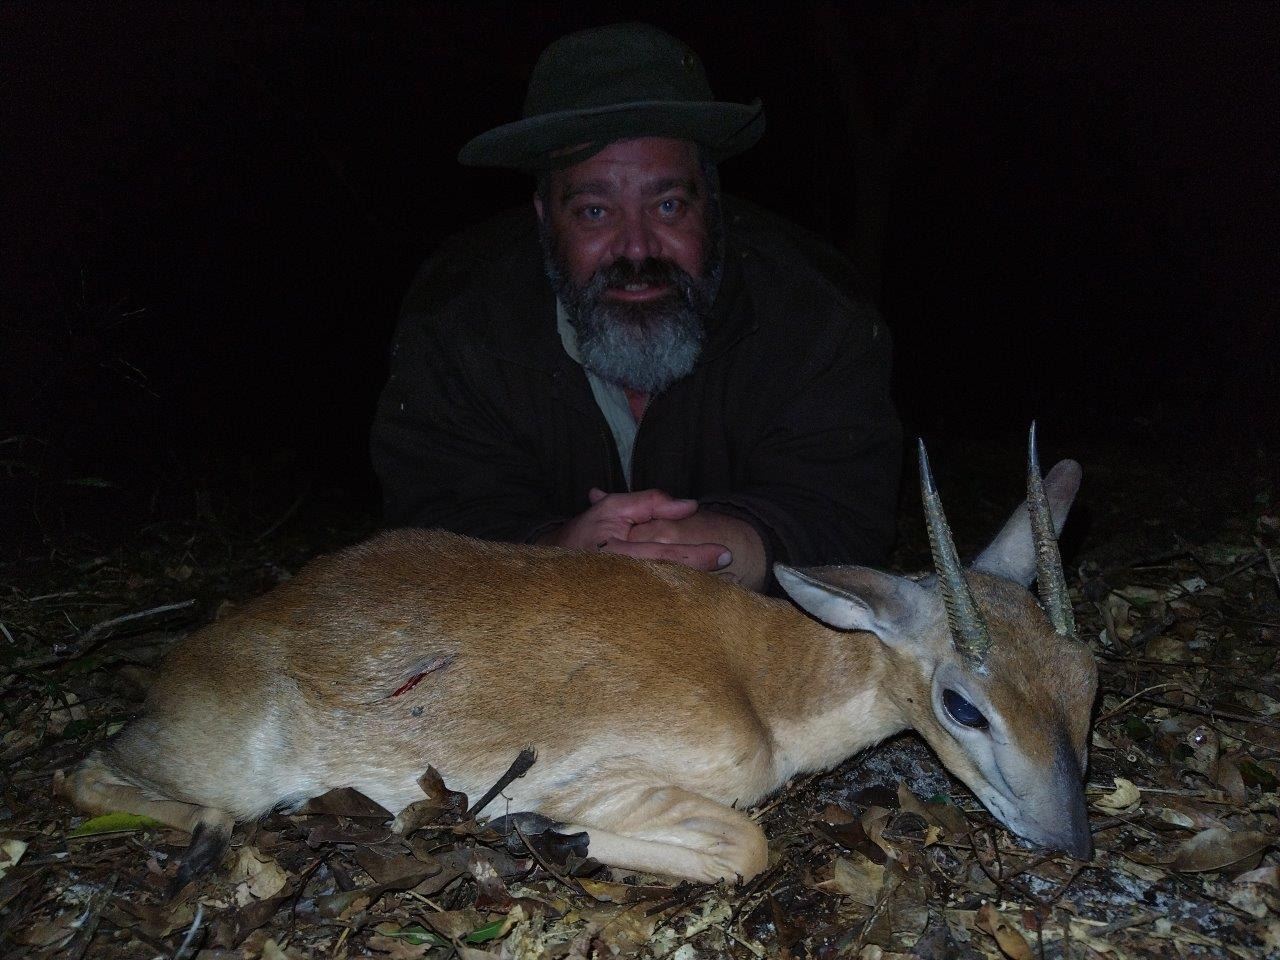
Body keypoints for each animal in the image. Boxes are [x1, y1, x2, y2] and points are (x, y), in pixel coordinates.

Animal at [57, 428, 1097, 886]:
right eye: (963, 703)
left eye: (1089, 680)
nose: (1074, 843)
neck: (765, 682)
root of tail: (177, 671)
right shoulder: (613, 776)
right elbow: (746, 847)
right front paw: (539, 832)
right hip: (224, 763)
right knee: (86, 773)